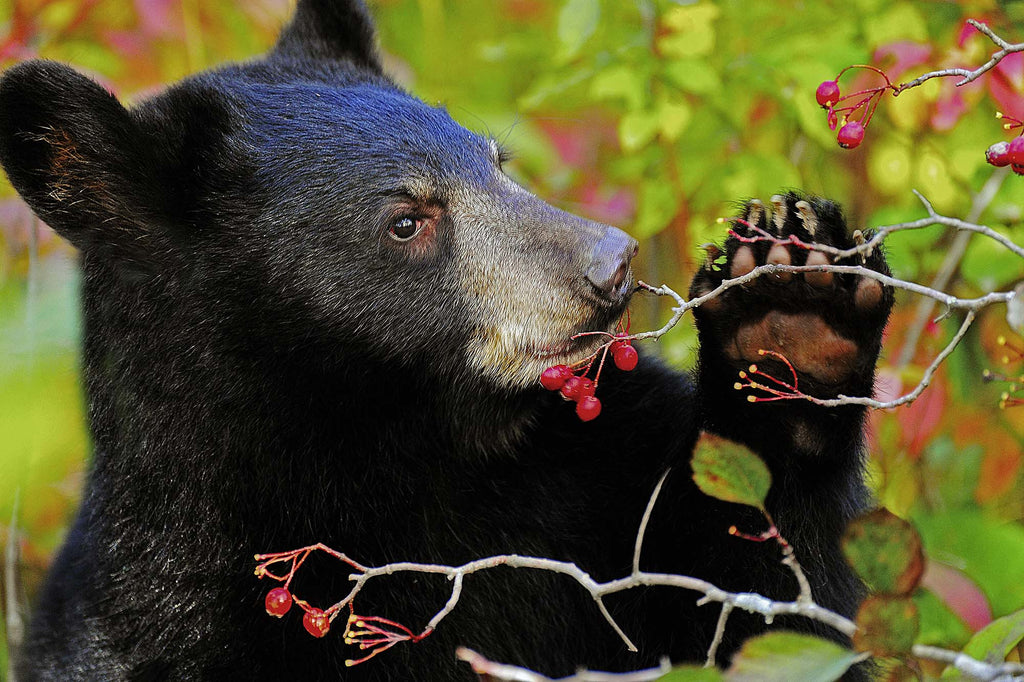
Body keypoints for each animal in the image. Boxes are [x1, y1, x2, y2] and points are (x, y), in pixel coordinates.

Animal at [0, 0, 892, 679]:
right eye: (406, 221)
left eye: (496, 160)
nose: (611, 261)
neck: (420, 456)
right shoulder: (182, 612)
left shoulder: (600, 477)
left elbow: (771, 608)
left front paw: (792, 309)